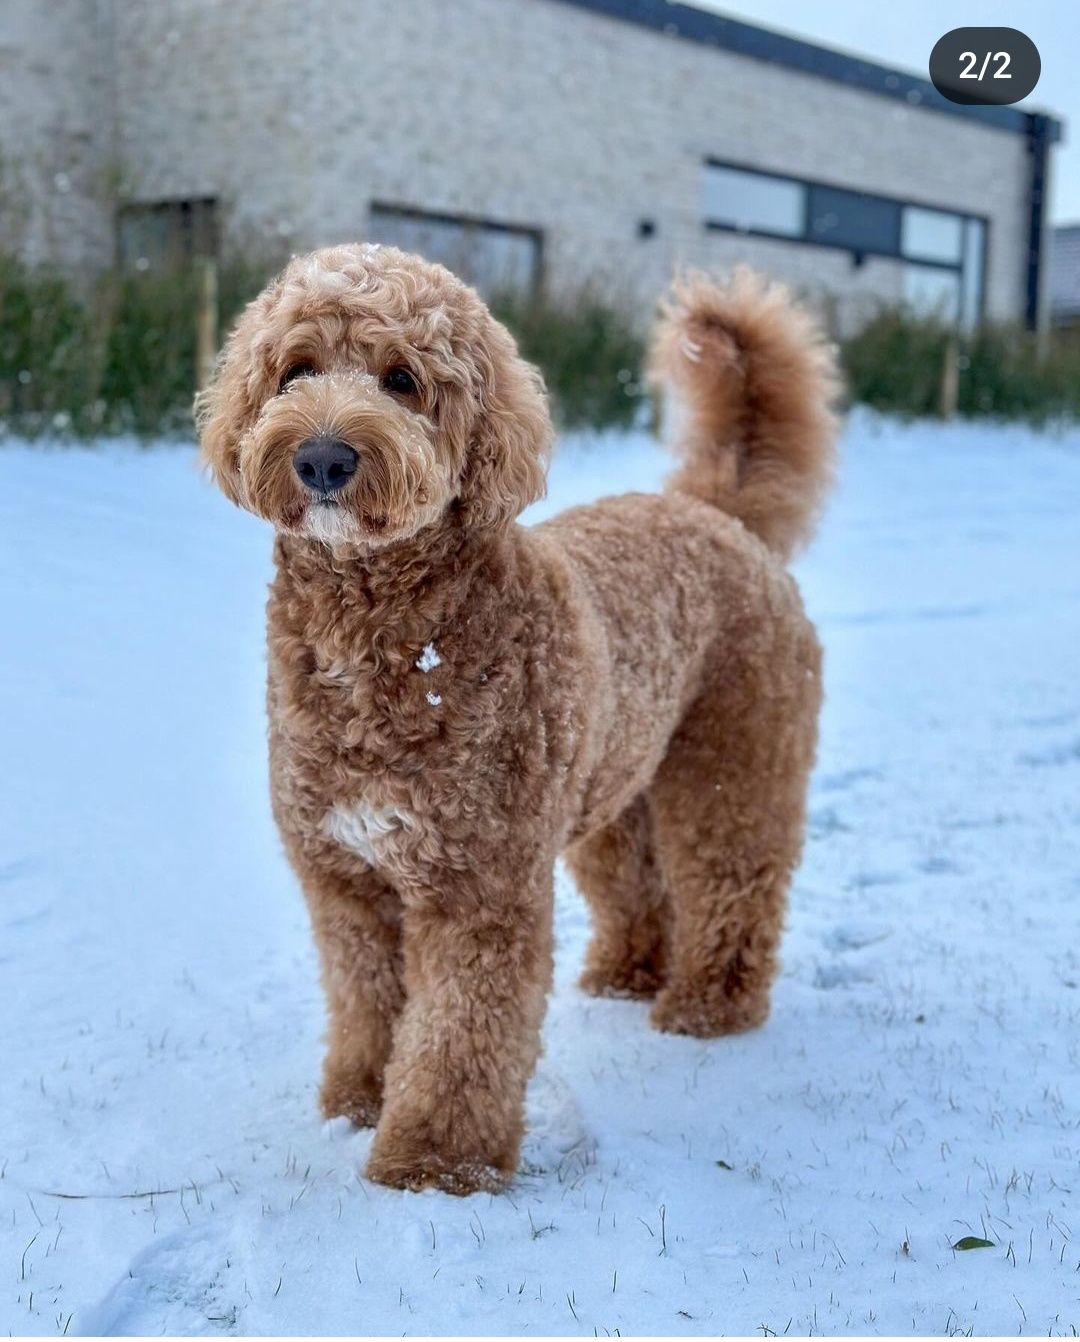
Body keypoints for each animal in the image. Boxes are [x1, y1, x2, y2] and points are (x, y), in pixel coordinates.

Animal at [198, 244, 837, 1197]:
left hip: (733, 765)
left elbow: (461, 1033)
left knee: (735, 881)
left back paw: (708, 1006)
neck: (383, 642)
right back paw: (624, 975)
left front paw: (432, 1163)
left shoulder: (479, 886)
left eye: (402, 379)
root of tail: (717, 513)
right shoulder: (345, 880)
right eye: (296, 370)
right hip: (612, 787)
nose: (322, 459)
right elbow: (367, 1002)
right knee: (638, 885)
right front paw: (357, 1102)